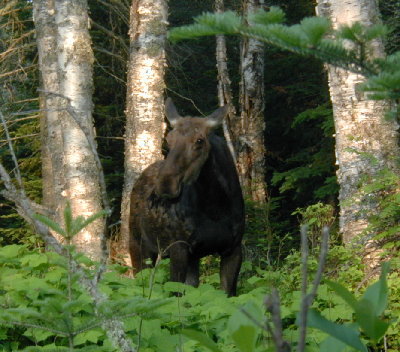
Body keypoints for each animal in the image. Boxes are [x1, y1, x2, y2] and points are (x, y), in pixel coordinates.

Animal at [130, 97, 245, 296]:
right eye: (168, 139)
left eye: (199, 140)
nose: (165, 184)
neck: (216, 207)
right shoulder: (179, 247)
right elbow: (175, 293)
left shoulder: (233, 248)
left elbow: (227, 294)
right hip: (138, 246)